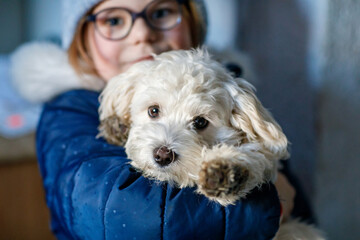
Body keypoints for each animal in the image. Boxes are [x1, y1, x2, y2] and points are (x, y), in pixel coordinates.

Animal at [97, 49, 324, 240]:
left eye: (200, 122)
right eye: (153, 110)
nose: (162, 155)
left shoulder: (268, 162)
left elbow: (258, 156)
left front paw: (228, 169)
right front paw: (116, 125)